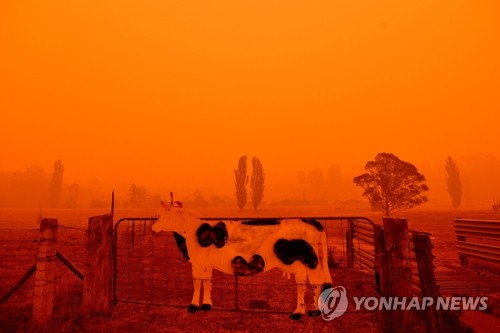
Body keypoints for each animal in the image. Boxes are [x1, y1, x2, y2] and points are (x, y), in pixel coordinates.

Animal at [151, 200, 332, 320]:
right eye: (158, 215)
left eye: (163, 216)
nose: (153, 229)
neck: (192, 232)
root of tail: (312, 221)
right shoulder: (207, 263)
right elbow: (207, 282)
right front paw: (206, 305)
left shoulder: (199, 261)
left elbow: (197, 282)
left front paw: (193, 306)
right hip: (303, 263)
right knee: (308, 283)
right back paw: (307, 311)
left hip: (307, 261)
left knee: (312, 282)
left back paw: (306, 312)